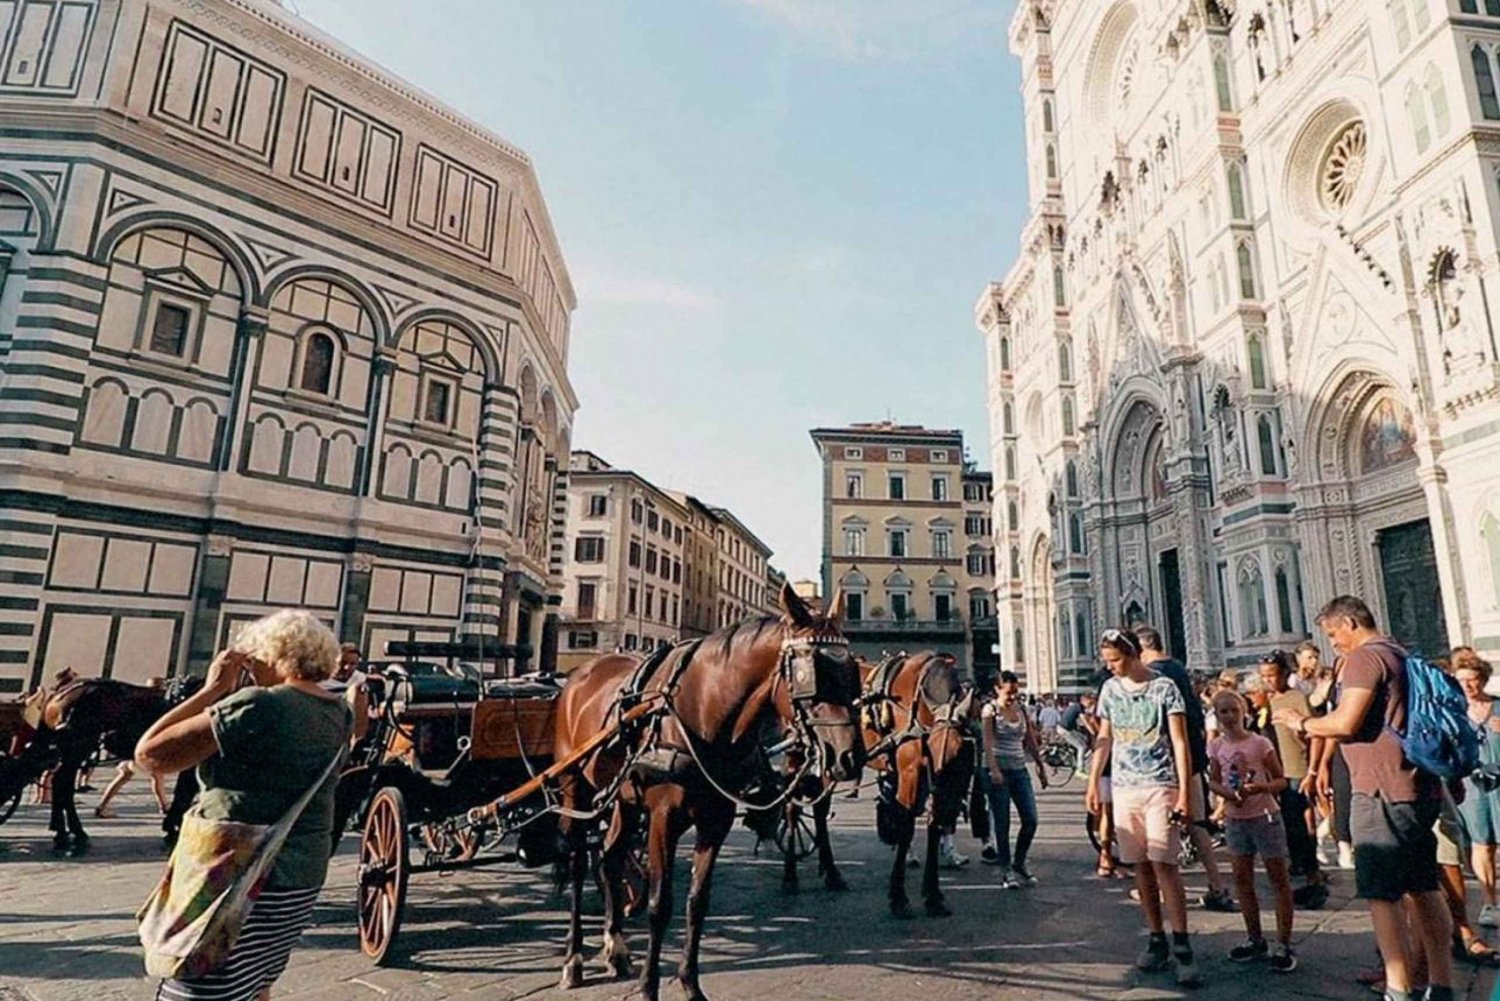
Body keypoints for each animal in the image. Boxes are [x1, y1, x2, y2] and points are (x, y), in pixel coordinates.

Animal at [0, 681, 174, 852]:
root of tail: (58, 694)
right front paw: (170, 831)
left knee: (60, 783)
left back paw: (62, 834)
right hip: (79, 748)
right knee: (62, 784)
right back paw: (76, 834)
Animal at [552, 588, 864, 1001]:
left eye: (852, 673)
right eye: (809, 675)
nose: (849, 756)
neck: (702, 710)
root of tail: (580, 674)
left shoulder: (715, 821)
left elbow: (697, 902)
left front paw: (690, 984)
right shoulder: (662, 818)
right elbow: (660, 904)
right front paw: (649, 988)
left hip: (623, 798)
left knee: (609, 857)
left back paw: (615, 947)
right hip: (576, 789)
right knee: (576, 862)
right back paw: (573, 959)